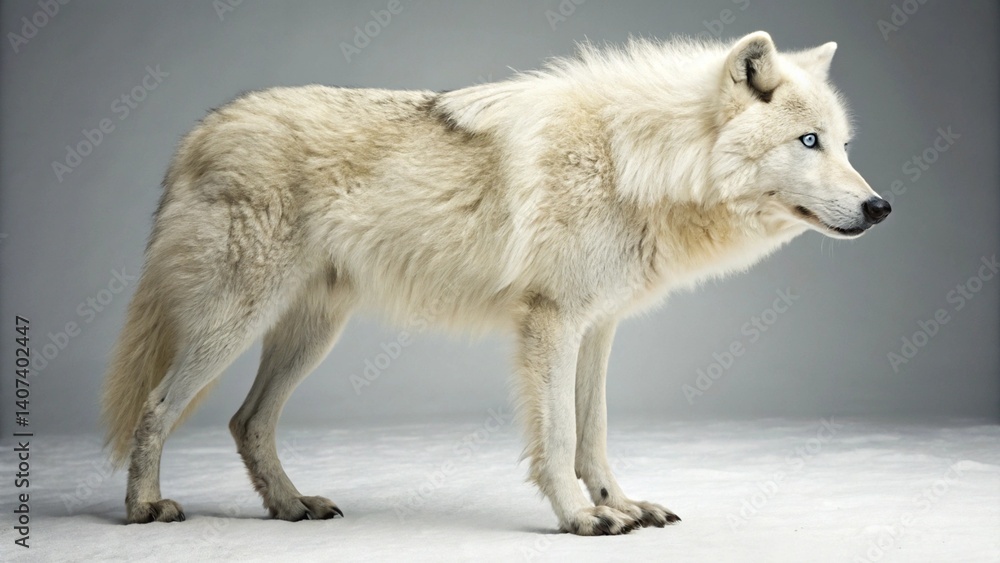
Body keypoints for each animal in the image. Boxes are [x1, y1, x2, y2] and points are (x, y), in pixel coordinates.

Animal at [101, 31, 890, 535]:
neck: (635, 160)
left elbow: (594, 435)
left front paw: (621, 505)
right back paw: (144, 509)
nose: (881, 208)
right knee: (156, 406)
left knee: (247, 420)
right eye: (809, 141)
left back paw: (292, 507)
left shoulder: (596, 329)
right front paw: (579, 517)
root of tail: (197, 134)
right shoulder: (552, 322)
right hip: (234, 322)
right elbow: (559, 435)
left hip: (310, 334)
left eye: (845, 144)